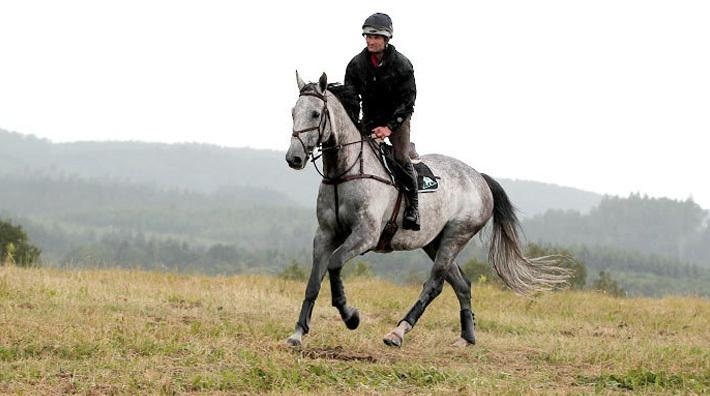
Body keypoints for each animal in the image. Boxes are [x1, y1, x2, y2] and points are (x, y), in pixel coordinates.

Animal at [286, 72, 572, 348]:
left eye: (315, 114)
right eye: (293, 112)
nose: (294, 158)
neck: (346, 171)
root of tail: (479, 178)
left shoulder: (365, 235)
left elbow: (334, 265)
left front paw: (351, 317)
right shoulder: (325, 235)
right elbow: (313, 283)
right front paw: (298, 333)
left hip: (456, 235)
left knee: (435, 283)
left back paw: (398, 332)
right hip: (434, 241)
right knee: (461, 284)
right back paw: (467, 337)